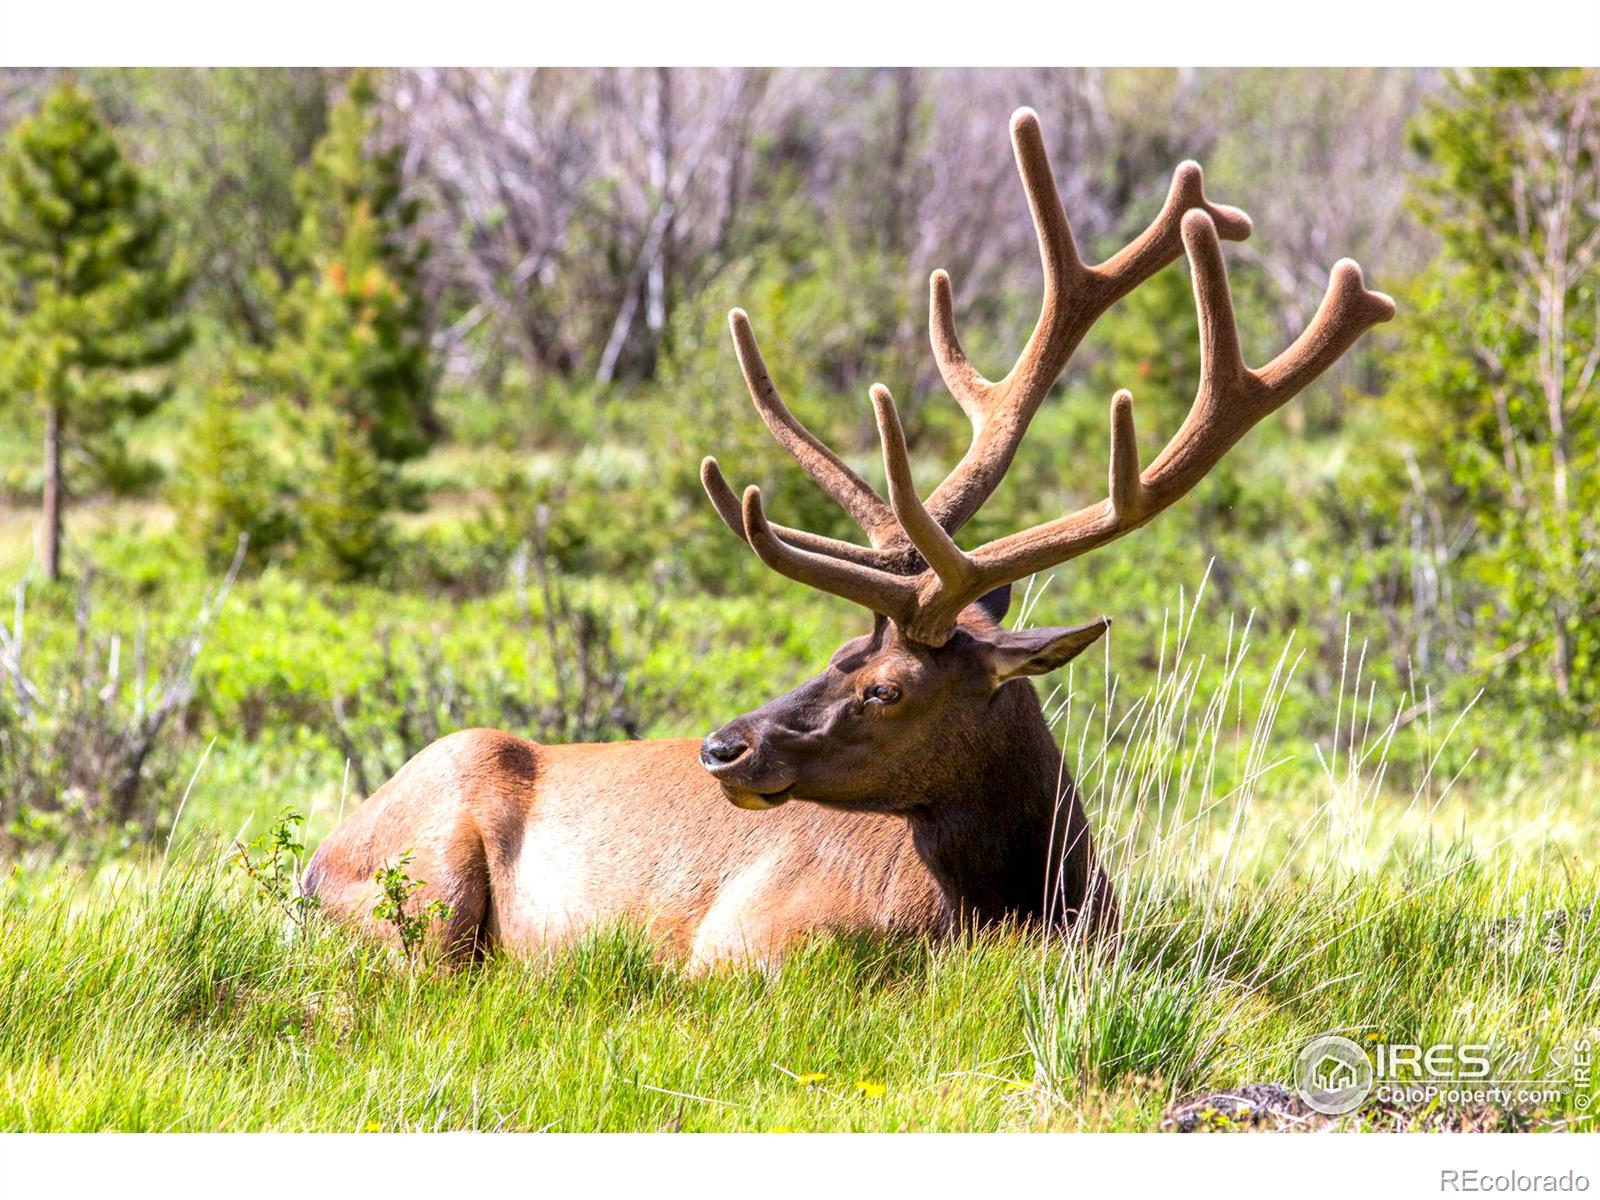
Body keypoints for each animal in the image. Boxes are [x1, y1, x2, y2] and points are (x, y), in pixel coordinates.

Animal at [305, 103, 1395, 966]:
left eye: (883, 687)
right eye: (832, 652)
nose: (722, 748)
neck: (1020, 904)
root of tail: (312, 865)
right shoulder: (735, 945)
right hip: (424, 879)